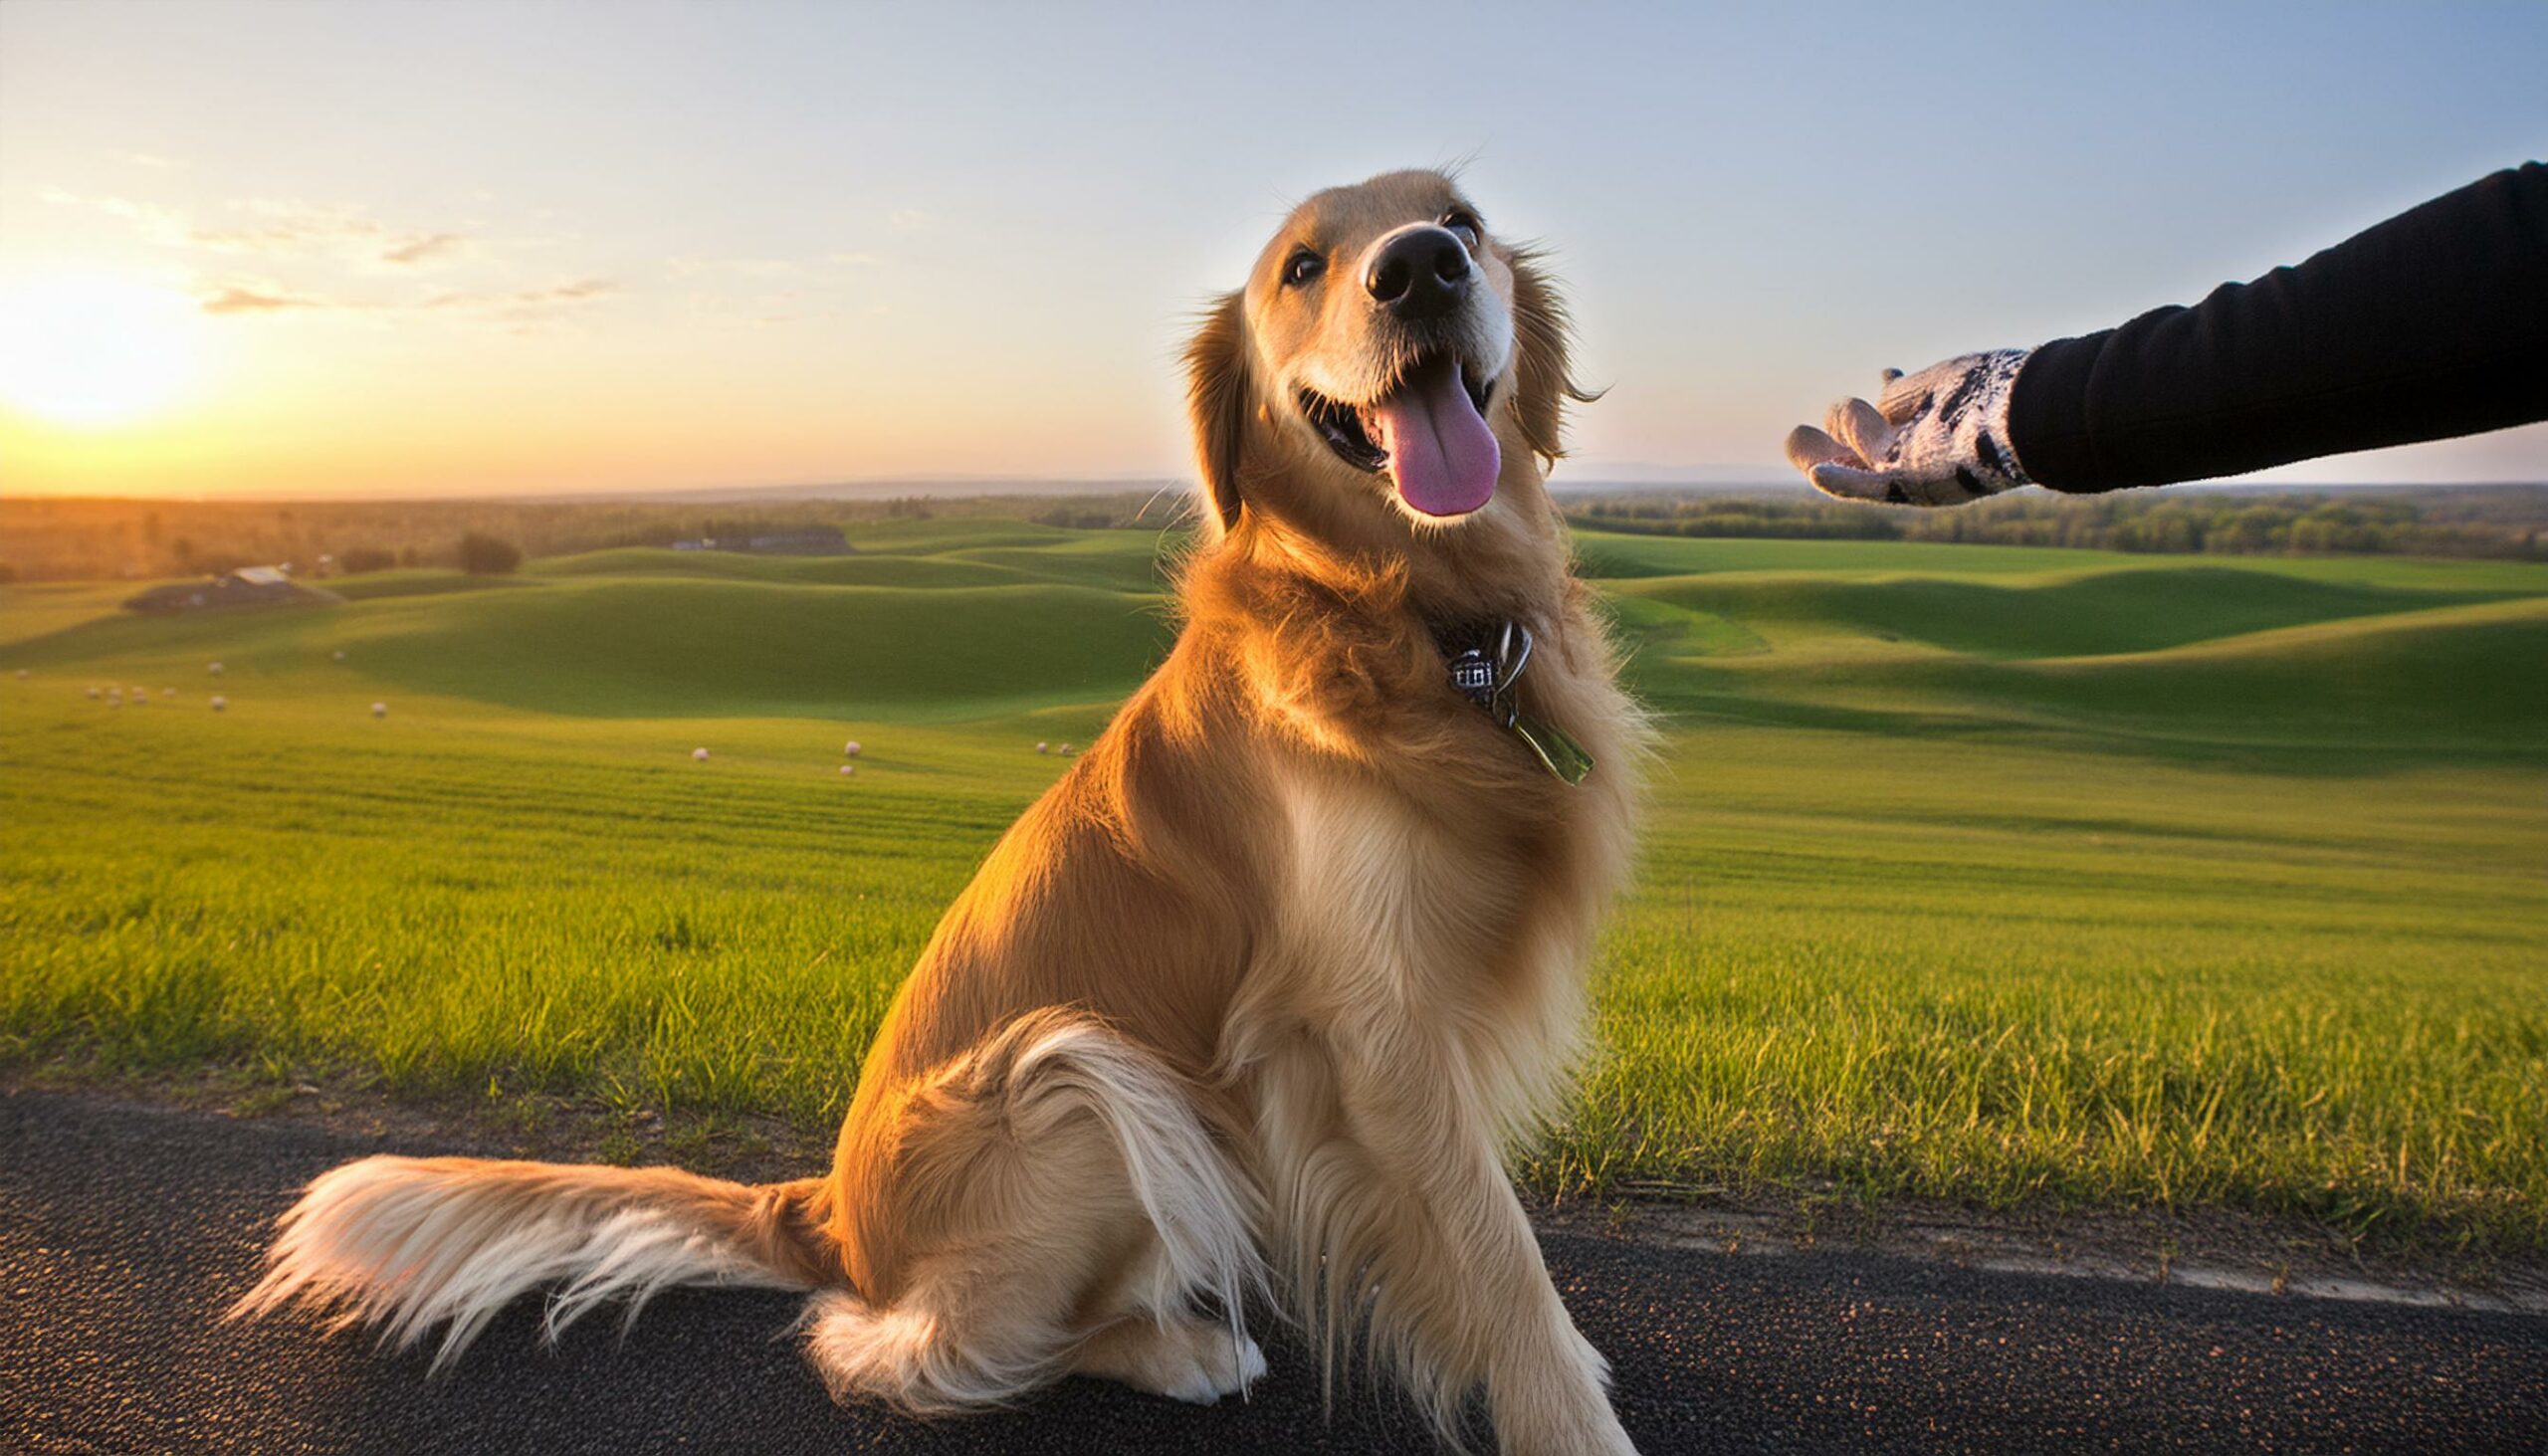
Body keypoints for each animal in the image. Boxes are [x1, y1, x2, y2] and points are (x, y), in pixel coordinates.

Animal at [234, 168, 1630, 1448]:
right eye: (1301, 266)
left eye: (1461, 219)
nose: (1420, 267)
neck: (1422, 629)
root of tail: (833, 1217)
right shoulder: (1373, 1032)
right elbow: (1505, 1276)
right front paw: (1567, 1415)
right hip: (1074, 1079)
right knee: (920, 1344)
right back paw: (1176, 1346)